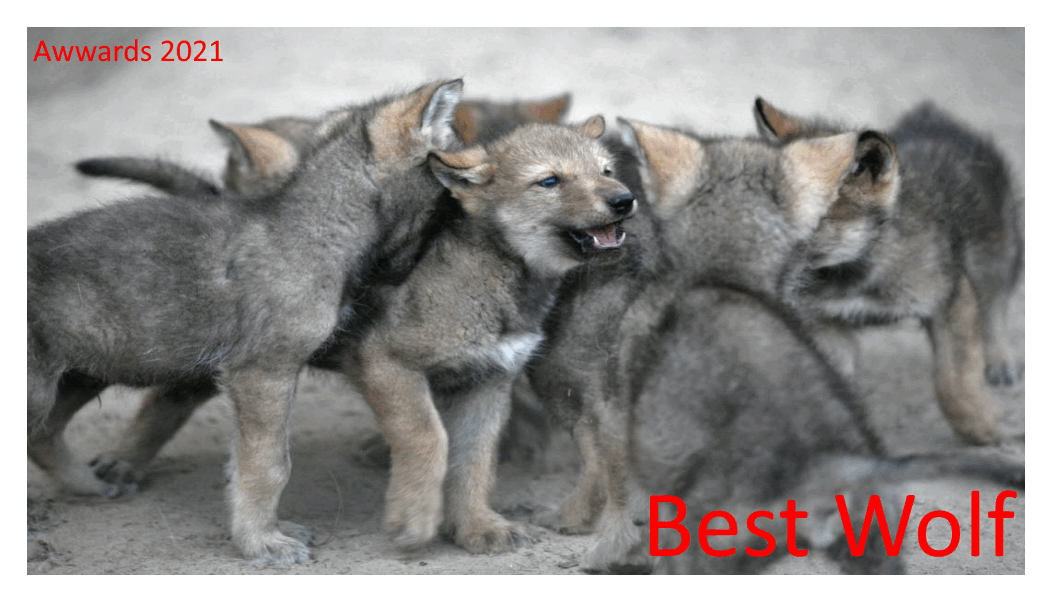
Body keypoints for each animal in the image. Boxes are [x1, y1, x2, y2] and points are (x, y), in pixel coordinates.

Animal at [28, 79, 466, 565]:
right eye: (450, 185)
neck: (316, 229)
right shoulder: (262, 373)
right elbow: (270, 465)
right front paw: (262, 543)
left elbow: (247, 464)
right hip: (46, 386)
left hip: (82, 373)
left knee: (43, 436)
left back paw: (90, 486)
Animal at [754, 99, 1024, 444]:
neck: (852, 270)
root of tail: (934, 117)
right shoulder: (826, 324)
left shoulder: (951, 297)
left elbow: (951, 381)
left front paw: (980, 426)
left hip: (999, 252)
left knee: (995, 306)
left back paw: (1000, 360)